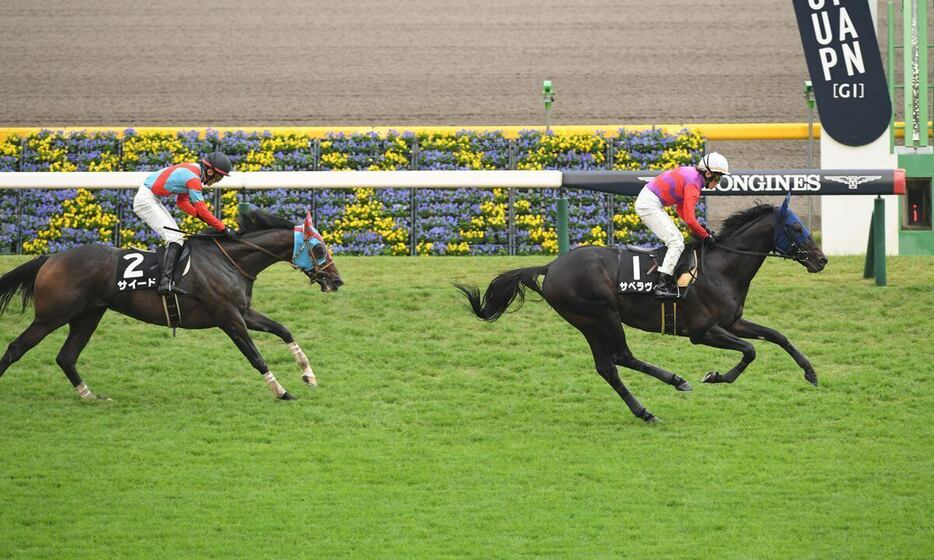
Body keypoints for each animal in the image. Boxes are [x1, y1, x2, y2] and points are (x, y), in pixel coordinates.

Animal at [0, 208, 344, 400]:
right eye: (319, 249)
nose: (337, 280)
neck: (229, 260)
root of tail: (50, 258)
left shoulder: (243, 312)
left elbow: (283, 330)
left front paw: (308, 374)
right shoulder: (229, 317)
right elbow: (256, 357)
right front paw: (282, 392)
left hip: (87, 316)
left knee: (66, 357)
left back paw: (90, 396)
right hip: (51, 316)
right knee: (16, 348)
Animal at [458, 195, 828, 422]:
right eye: (796, 227)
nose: (821, 260)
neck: (721, 268)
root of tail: (551, 266)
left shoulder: (732, 322)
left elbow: (777, 336)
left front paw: (810, 373)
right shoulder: (702, 331)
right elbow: (751, 350)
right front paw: (715, 376)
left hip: (587, 323)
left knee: (607, 367)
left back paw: (646, 411)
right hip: (602, 315)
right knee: (621, 357)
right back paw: (676, 381)